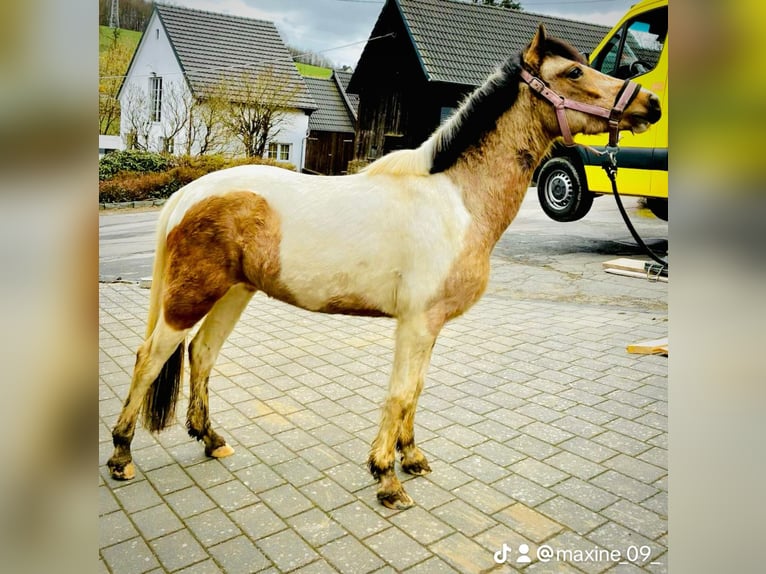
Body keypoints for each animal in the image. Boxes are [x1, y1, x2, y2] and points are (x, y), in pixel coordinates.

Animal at [107, 25, 661, 509]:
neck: (455, 200)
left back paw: (210, 438)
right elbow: (398, 394)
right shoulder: (415, 323)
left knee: (201, 354)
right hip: (191, 296)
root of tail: (187, 194)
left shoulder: (430, 326)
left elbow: (415, 391)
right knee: (150, 357)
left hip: (233, 292)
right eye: (573, 72)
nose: (648, 104)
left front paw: (410, 458)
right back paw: (121, 455)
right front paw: (386, 479)